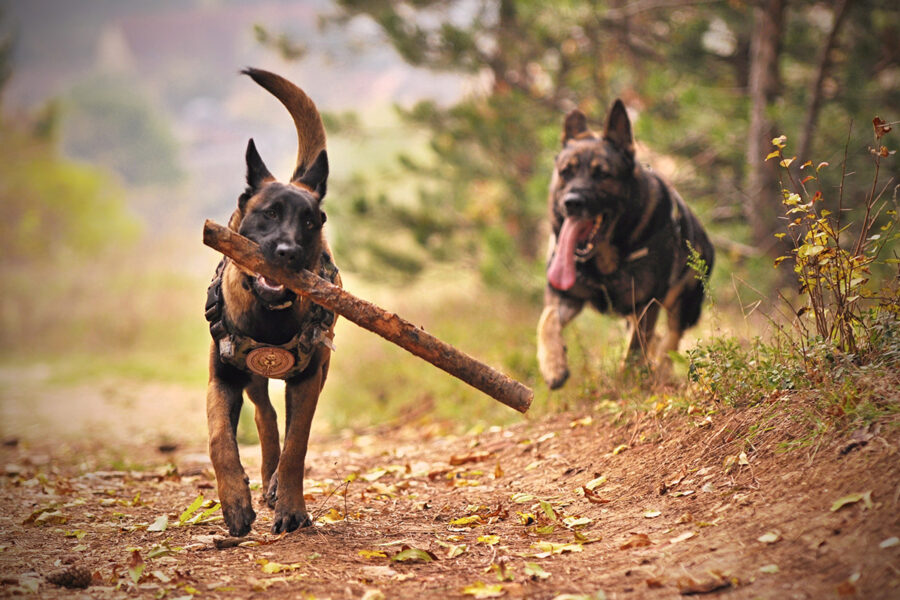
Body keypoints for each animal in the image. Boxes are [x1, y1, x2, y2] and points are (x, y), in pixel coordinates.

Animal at [204, 68, 338, 536]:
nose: (288, 252)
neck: (269, 315)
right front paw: (234, 503)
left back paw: (276, 485)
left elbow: (297, 446)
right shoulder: (223, 377)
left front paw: (292, 508)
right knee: (264, 415)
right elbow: (220, 439)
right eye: (270, 214)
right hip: (250, 377)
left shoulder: (308, 379)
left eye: (310, 221)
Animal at [536, 99, 716, 390]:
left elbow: (633, 351)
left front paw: (628, 383)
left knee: (670, 340)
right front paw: (553, 365)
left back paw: (661, 371)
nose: (571, 202)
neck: (603, 260)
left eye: (602, 174)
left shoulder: (646, 304)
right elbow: (547, 320)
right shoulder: (565, 296)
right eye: (566, 173)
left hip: (683, 306)